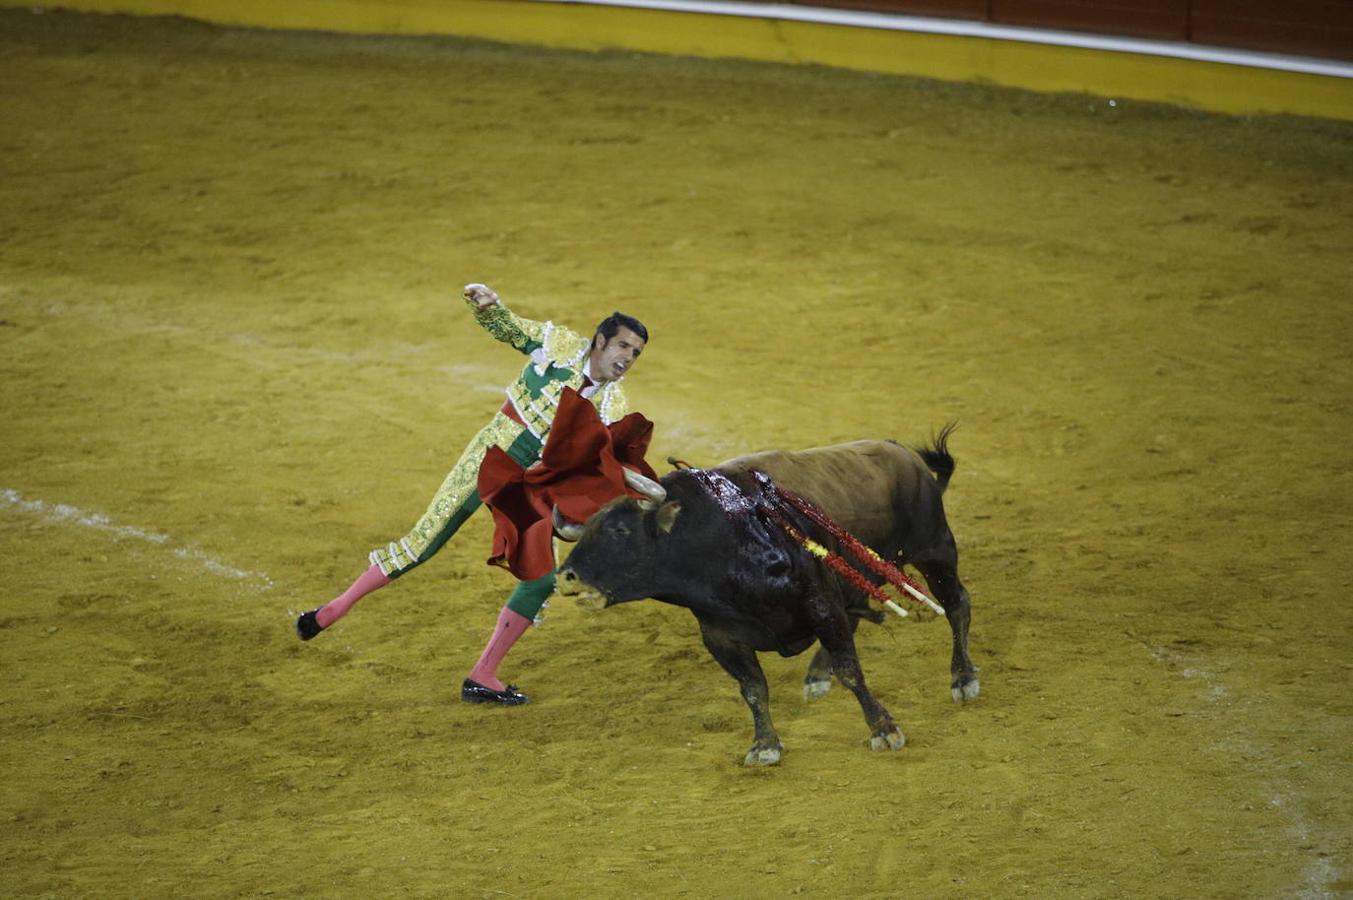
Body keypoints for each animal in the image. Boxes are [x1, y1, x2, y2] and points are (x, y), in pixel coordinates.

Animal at [554, 427, 979, 763]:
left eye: (620, 530)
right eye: (585, 529)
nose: (567, 576)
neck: (724, 539)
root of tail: (903, 454)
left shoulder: (822, 608)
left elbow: (851, 672)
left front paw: (884, 729)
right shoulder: (720, 637)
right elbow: (754, 690)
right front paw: (765, 745)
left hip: (934, 549)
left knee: (956, 604)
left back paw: (963, 678)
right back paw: (817, 675)